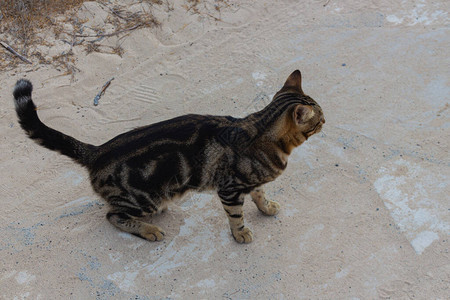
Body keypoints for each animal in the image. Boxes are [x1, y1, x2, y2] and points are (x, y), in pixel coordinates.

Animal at [13, 70, 324, 244]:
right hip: (143, 198)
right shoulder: (230, 189)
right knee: (113, 215)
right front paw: (240, 234)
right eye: (319, 117)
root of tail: (98, 150)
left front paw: (267, 207)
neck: (261, 129)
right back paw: (149, 230)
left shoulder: (250, 182)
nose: (326, 120)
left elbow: (260, 194)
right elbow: (236, 216)